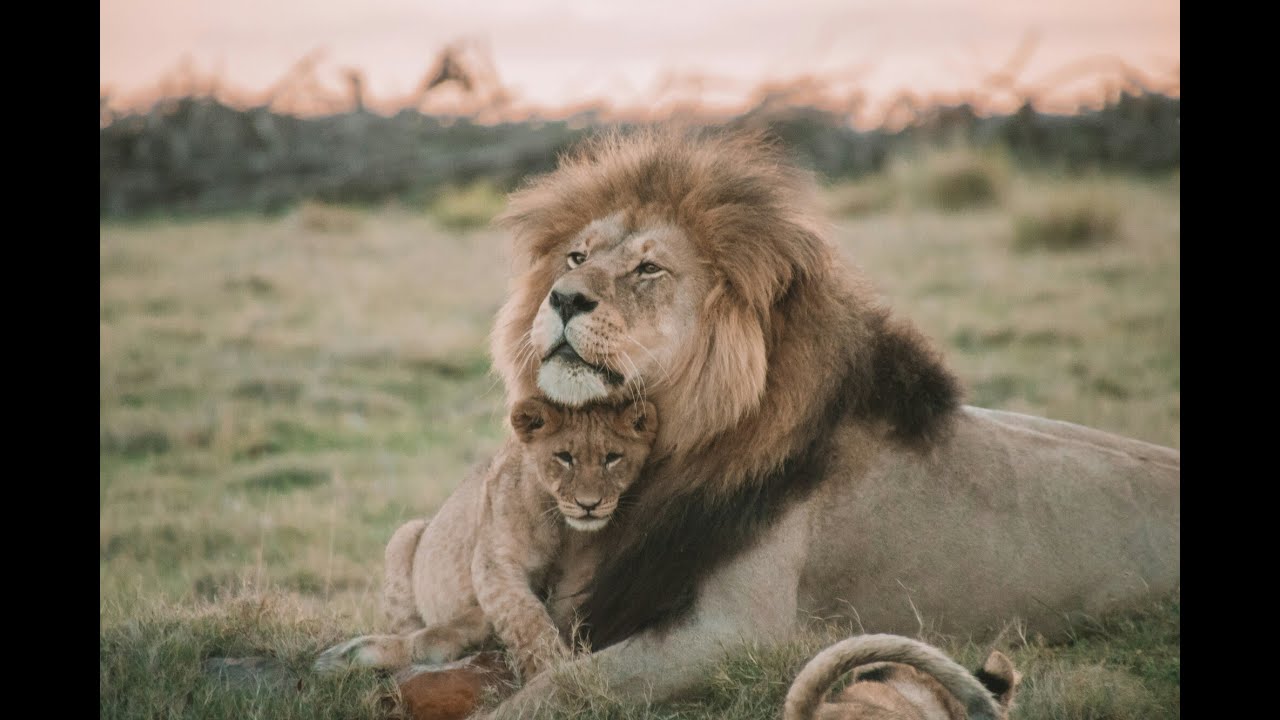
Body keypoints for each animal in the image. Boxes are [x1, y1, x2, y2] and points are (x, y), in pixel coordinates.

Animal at [314, 397, 657, 681]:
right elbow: (525, 617)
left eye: (612, 457)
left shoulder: (584, 573)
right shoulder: (494, 562)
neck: (563, 527)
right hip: (404, 534)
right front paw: (553, 671)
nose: (589, 504)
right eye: (564, 457)